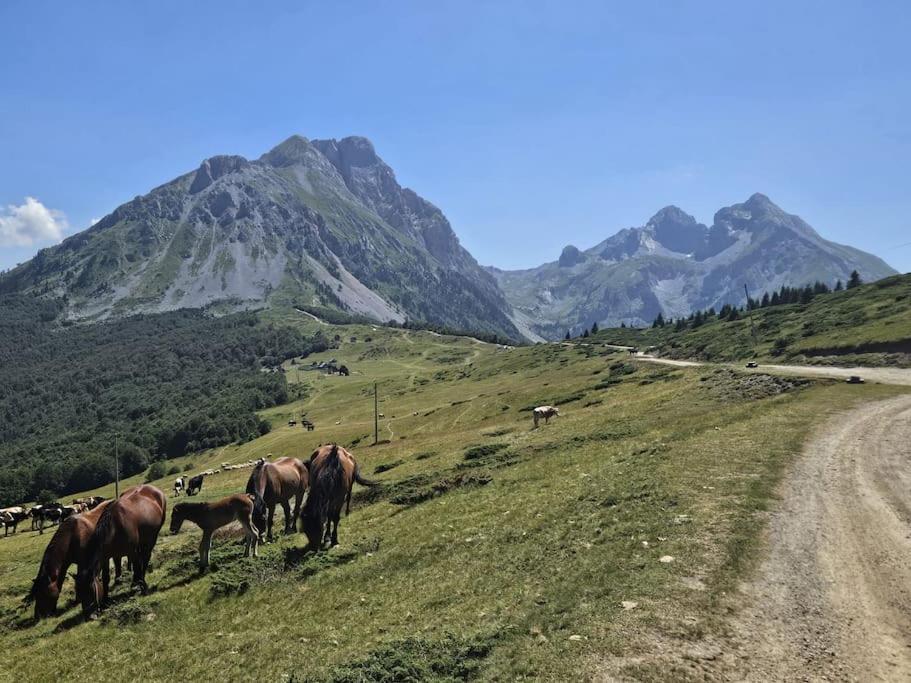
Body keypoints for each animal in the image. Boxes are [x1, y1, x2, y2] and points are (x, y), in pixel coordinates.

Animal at [75, 484, 167, 616]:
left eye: (90, 591)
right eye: (78, 593)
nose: (89, 616)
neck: (115, 527)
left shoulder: (132, 551)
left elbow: (137, 566)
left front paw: (143, 587)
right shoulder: (105, 557)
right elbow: (106, 578)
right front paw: (105, 601)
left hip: (152, 537)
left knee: (145, 557)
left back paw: (140, 579)